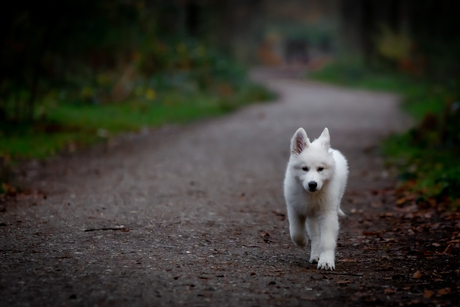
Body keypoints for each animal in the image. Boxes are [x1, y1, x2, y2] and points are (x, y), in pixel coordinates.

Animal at [284, 127, 348, 272]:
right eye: (304, 168)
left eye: (320, 169)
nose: (312, 184)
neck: (311, 196)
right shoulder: (294, 209)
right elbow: (295, 232)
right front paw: (302, 242)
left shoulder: (327, 215)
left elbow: (327, 241)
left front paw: (326, 262)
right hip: (311, 217)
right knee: (315, 236)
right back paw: (314, 255)